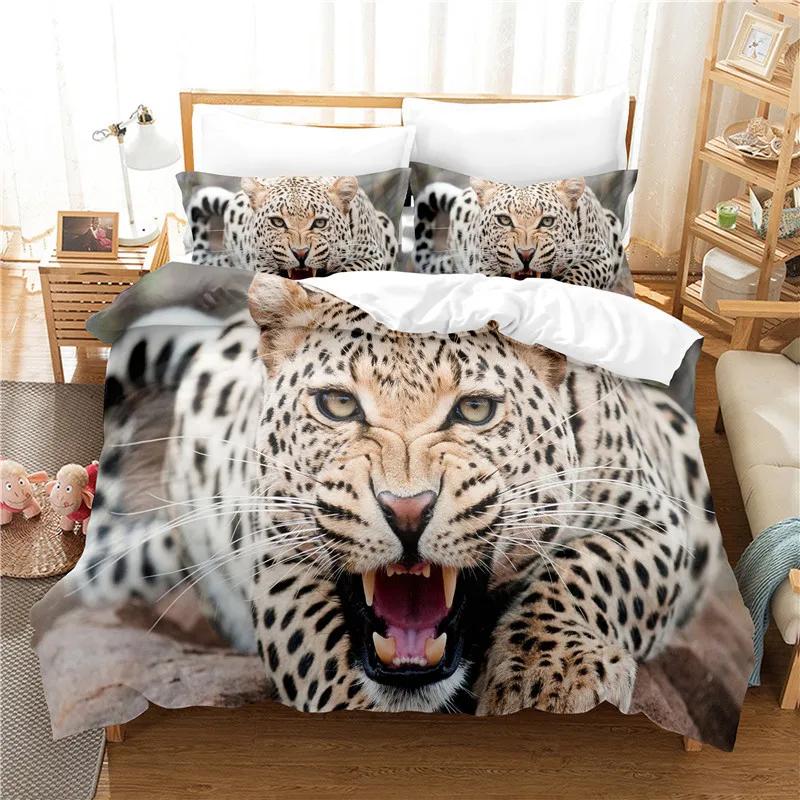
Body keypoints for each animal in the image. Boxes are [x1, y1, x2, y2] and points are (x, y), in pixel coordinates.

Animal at [69, 273, 722, 717]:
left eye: (475, 410)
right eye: (337, 404)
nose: (406, 511)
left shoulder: (661, 520)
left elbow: (586, 566)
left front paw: (552, 675)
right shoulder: (276, 549)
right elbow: (320, 656)